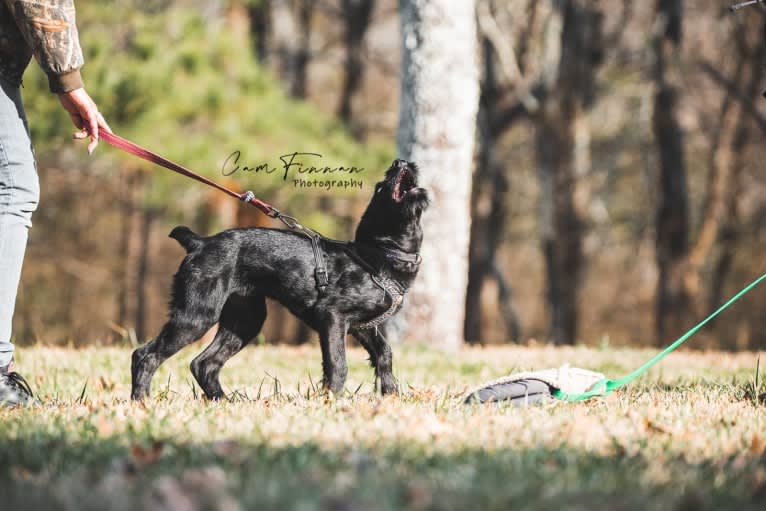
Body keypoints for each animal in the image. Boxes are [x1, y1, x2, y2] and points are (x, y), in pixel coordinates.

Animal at [133, 160, 432, 400]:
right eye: (382, 186)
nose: (400, 161)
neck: (379, 254)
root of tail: (199, 243)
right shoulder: (333, 317)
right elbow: (338, 363)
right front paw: (330, 401)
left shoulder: (364, 326)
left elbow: (385, 355)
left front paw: (391, 396)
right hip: (196, 315)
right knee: (145, 355)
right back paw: (142, 402)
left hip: (244, 321)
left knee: (203, 363)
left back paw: (224, 402)